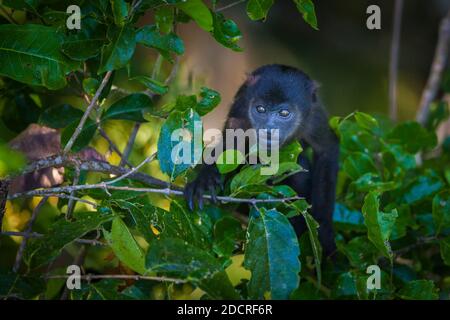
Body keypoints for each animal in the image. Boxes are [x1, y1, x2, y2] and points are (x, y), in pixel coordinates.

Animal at [185, 63, 340, 256]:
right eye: (260, 109)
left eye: (284, 113)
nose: (269, 129)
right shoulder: (241, 107)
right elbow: (230, 144)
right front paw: (204, 180)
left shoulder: (314, 115)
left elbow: (327, 149)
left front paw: (324, 230)